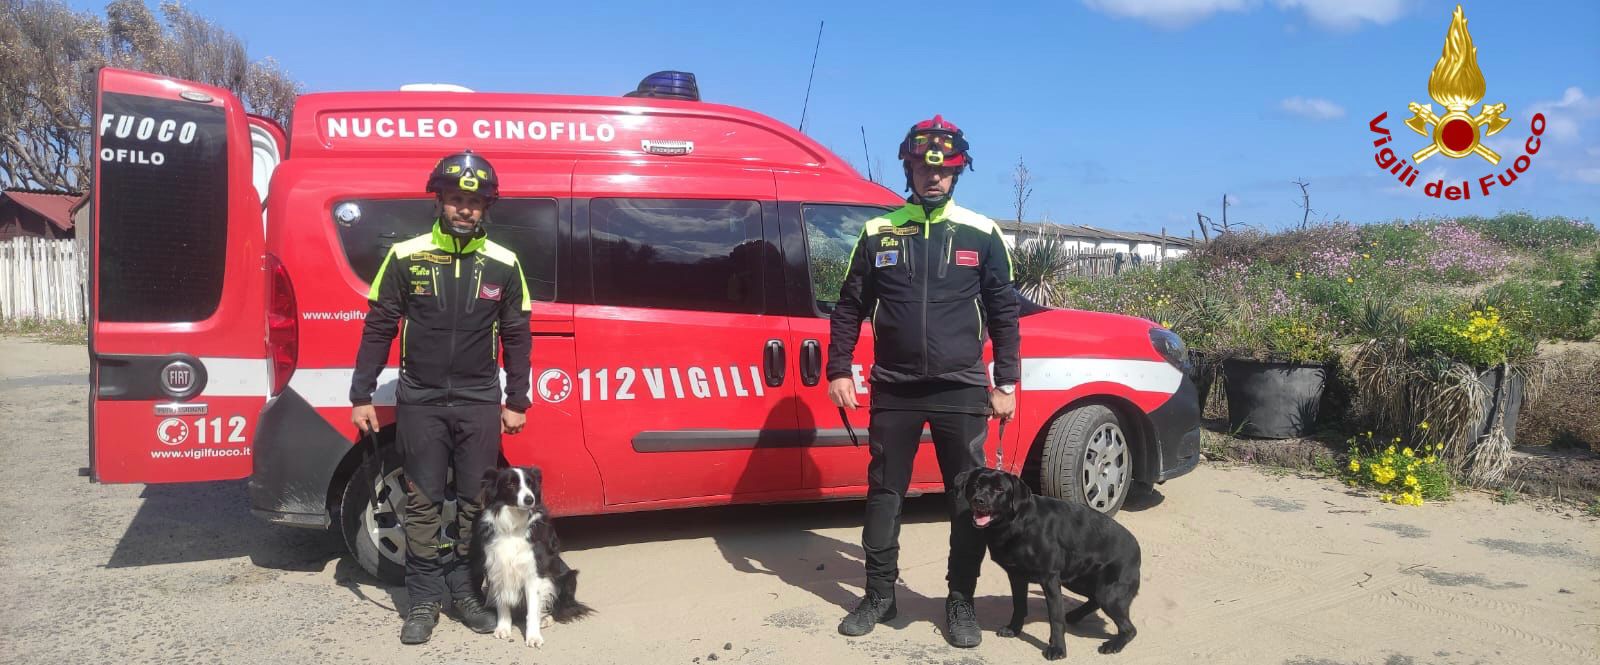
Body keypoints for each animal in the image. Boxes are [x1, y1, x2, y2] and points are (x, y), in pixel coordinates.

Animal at [469, 466, 593, 647]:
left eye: (530, 483)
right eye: (510, 484)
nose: (529, 499)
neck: (513, 525)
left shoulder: (534, 573)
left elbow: (533, 610)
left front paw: (533, 637)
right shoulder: (498, 567)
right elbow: (502, 602)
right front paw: (503, 628)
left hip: (567, 577)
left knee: (562, 607)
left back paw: (546, 618)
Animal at [955, 467, 1141, 660]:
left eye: (1000, 489)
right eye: (975, 485)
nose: (979, 500)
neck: (1018, 523)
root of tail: (1136, 547)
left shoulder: (1050, 578)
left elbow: (1056, 618)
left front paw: (1057, 648)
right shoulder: (1017, 576)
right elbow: (1019, 606)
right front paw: (1014, 629)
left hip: (1109, 594)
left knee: (1129, 629)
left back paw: (1113, 644)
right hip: (1077, 581)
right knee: (1094, 599)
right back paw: (1075, 615)